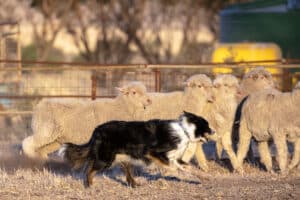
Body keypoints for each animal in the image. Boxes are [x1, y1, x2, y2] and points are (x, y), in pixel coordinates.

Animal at [22, 81, 151, 161]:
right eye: (134, 92)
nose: (149, 100)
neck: (121, 107)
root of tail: (39, 105)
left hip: (55, 139)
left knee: (41, 150)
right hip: (46, 130)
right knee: (27, 143)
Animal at [58, 111, 213, 188]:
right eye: (207, 125)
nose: (214, 131)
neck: (184, 131)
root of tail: (97, 130)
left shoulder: (175, 157)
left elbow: (188, 167)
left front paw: (205, 177)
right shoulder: (153, 152)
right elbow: (172, 166)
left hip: (122, 156)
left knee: (125, 171)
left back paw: (134, 184)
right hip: (106, 159)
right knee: (89, 169)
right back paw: (89, 185)